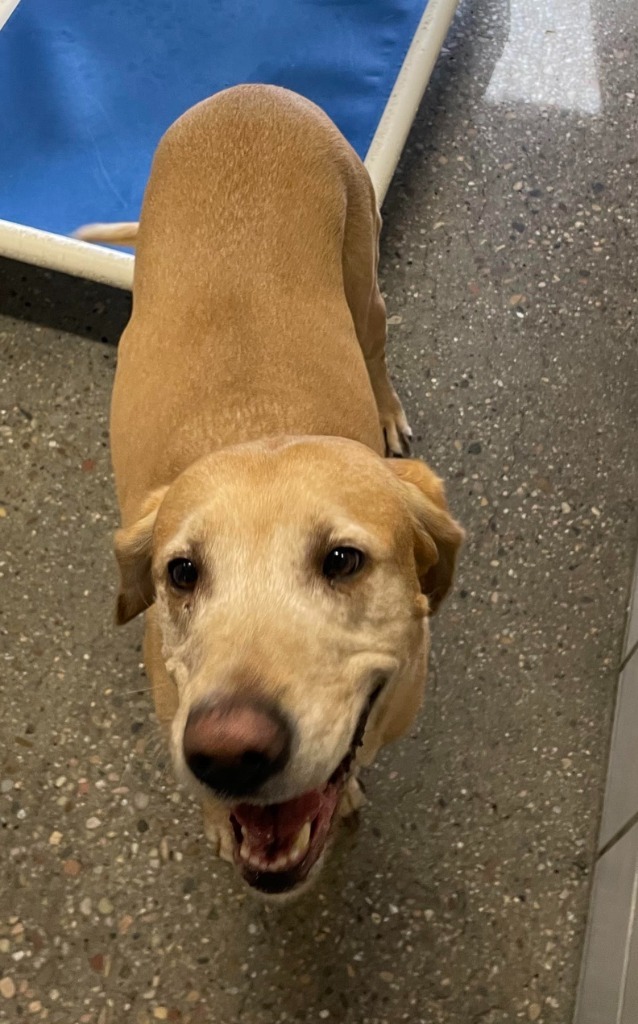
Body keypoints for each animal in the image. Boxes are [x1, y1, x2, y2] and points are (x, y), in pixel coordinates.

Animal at [77, 83, 460, 892]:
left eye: (343, 560)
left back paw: (387, 411)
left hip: (366, 291)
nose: (227, 753)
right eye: (181, 573)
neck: (259, 425)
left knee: (376, 349)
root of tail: (250, 92)